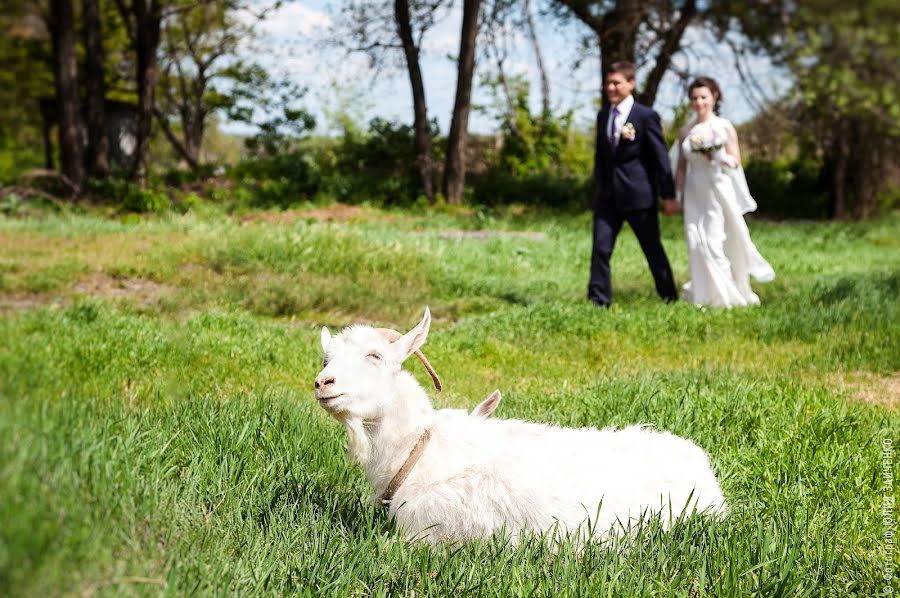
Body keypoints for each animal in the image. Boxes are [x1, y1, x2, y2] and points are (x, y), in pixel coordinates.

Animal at [312, 310, 728, 548]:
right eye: (326, 359)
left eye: (375, 356)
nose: (323, 383)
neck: (421, 453)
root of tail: (701, 464)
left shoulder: (428, 531)